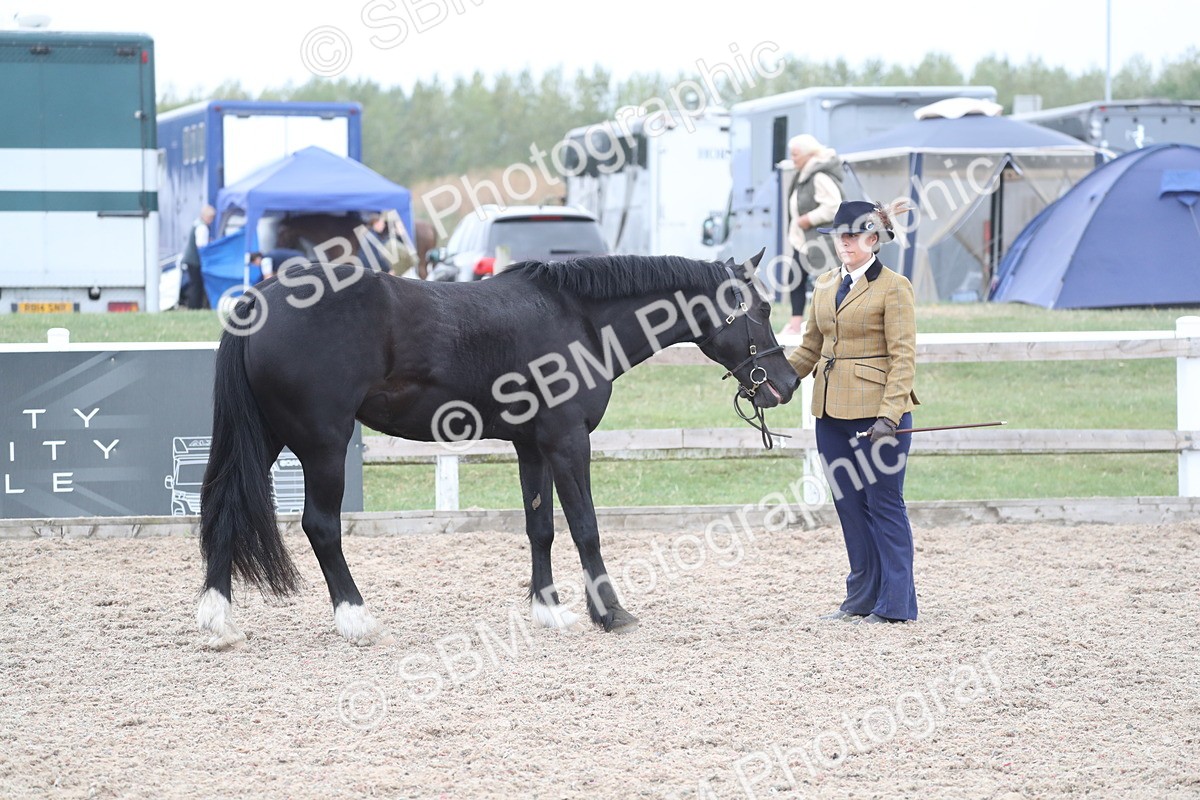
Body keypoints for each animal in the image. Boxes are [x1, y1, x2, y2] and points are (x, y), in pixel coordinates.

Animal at [196, 251, 800, 649]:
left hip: (266, 438)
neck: (578, 319)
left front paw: (549, 611)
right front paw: (610, 612)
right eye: (762, 308)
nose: (788, 382)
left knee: (226, 508)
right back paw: (356, 619)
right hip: (323, 444)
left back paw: (219, 621)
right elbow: (585, 526)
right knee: (320, 526)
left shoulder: (532, 448)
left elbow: (541, 528)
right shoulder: (567, 441)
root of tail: (262, 299)